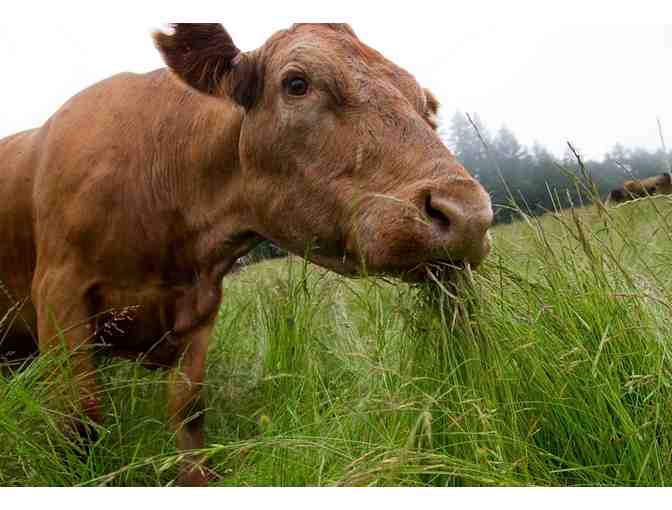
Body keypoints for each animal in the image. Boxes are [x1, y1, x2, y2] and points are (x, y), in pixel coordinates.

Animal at [0, 22, 494, 486]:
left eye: (424, 103)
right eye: (297, 83)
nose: (469, 215)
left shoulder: (201, 308)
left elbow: (188, 408)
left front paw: (196, 478)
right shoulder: (60, 294)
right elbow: (81, 418)